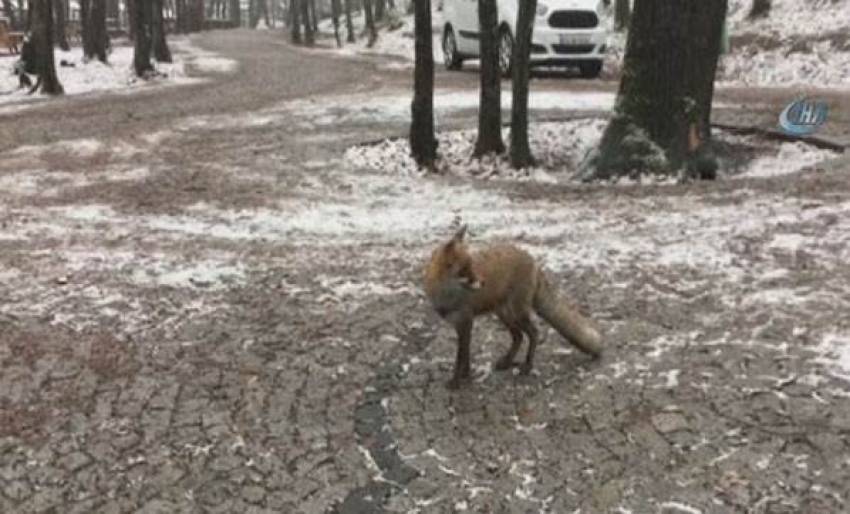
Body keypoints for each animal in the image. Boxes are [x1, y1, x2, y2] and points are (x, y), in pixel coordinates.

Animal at [420, 225, 600, 388]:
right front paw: (466, 376)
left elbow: (461, 357)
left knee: (533, 333)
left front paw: (457, 381)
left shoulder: (466, 321)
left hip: (517, 312)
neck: (446, 295)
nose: (483, 282)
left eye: (472, 265)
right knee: (518, 336)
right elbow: (466, 355)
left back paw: (527, 366)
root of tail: (532, 259)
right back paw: (507, 362)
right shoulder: (461, 325)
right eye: (465, 269)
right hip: (504, 314)